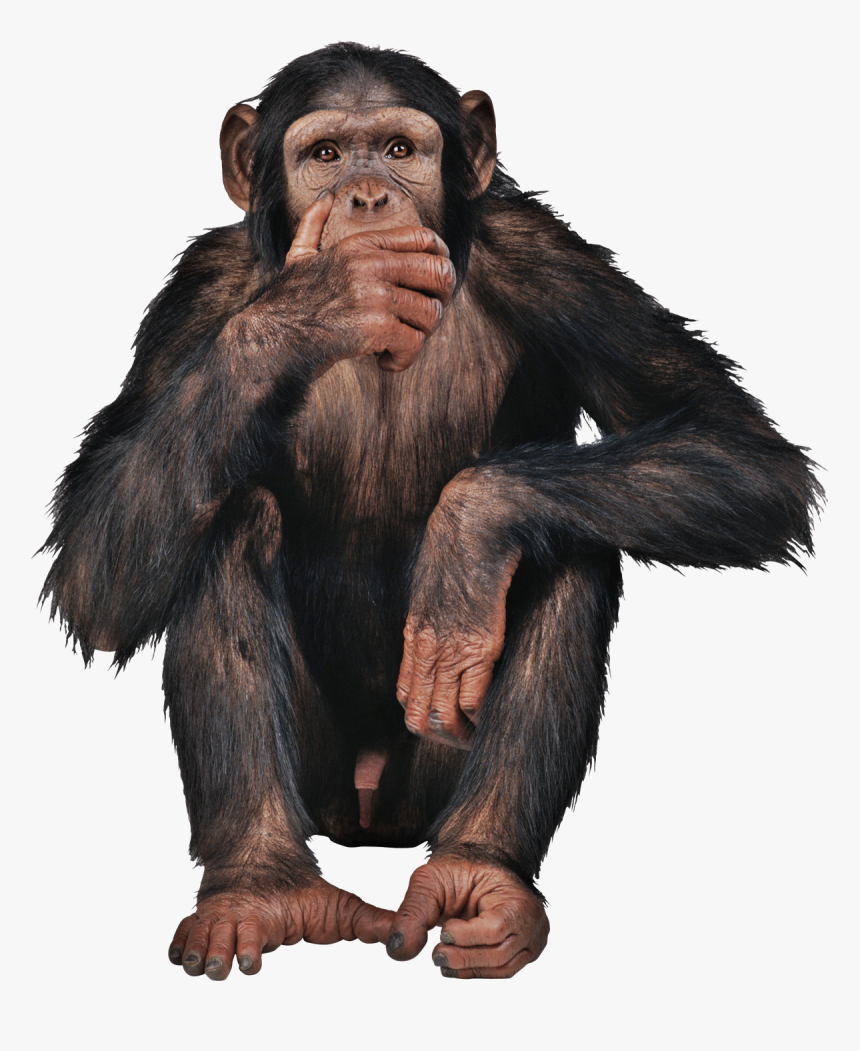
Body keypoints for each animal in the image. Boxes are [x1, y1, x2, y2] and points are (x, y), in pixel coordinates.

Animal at [41, 42, 821, 980]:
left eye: (400, 150)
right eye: (326, 154)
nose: (368, 197)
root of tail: (374, 814)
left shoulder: (546, 257)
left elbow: (740, 447)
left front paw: (465, 530)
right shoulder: (199, 294)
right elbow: (94, 567)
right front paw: (321, 302)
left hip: (430, 778)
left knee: (566, 542)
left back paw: (479, 872)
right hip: (324, 785)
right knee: (223, 517)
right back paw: (263, 887)